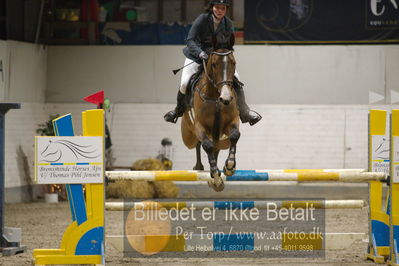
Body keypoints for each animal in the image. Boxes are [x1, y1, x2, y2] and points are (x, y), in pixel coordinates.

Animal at [181, 46, 241, 191]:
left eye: (234, 63)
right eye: (214, 64)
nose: (226, 98)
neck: (215, 98)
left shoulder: (231, 122)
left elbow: (235, 135)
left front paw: (229, 166)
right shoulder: (199, 126)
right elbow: (207, 145)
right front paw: (216, 175)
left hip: (220, 138)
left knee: (216, 147)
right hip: (188, 137)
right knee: (199, 144)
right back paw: (200, 167)